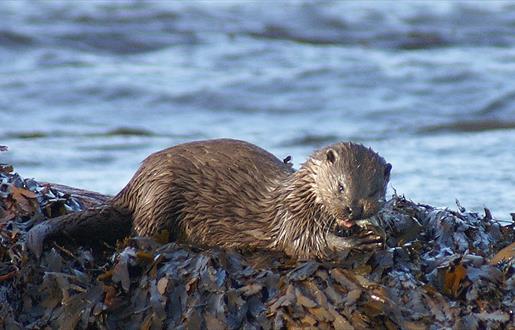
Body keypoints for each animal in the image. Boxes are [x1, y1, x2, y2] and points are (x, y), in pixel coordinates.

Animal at [27, 138, 392, 260]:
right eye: (341, 186)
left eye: (374, 192)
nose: (351, 209)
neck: (298, 195)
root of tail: (138, 178)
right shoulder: (292, 217)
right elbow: (306, 244)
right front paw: (358, 242)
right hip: (160, 194)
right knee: (138, 231)